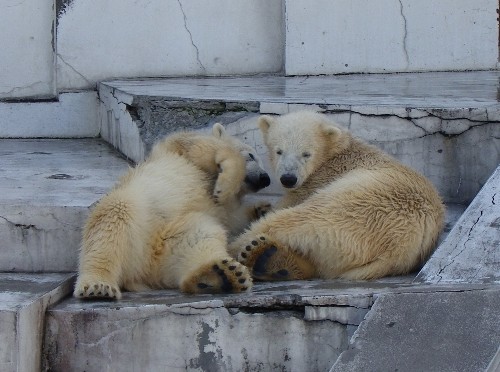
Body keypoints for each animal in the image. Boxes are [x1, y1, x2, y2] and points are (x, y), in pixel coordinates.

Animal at [74, 123, 270, 300]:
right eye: (252, 155)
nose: (265, 178)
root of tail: (142, 269)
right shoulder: (181, 147)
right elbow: (206, 149)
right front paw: (224, 188)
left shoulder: (226, 210)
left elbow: (232, 221)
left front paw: (261, 210)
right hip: (134, 209)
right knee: (113, 218)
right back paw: (99, 285)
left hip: (178, 234)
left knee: (199, 238)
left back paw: (221, 275)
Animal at [229, 112, 444, 280]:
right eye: (279, 151)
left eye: (306, 154)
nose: (288, 178)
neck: (337, 152)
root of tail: (399, 248)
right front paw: (260, 208)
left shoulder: (317, 182)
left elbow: (288, 203)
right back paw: (271, 260)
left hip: (356, 204)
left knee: (297, 218)